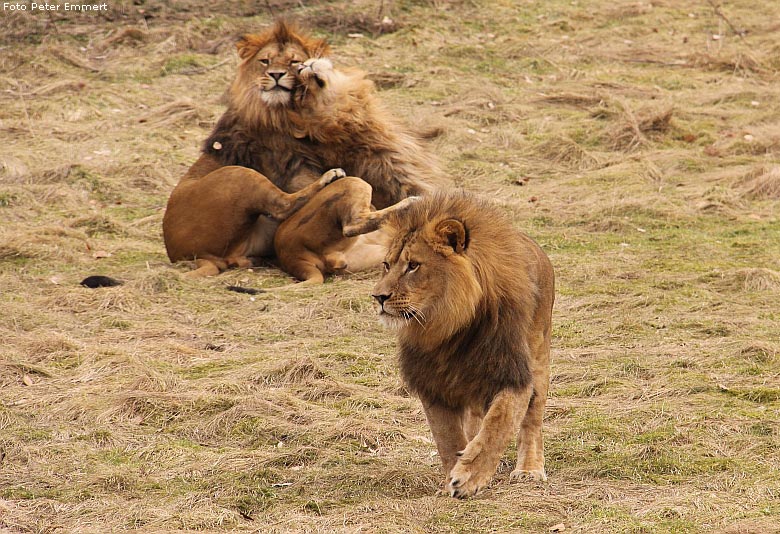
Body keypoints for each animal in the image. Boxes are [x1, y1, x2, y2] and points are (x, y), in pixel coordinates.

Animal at [161, 19, 442, 280]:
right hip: (239, 175)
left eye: (295, 61)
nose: (293, 70)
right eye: (265, 61)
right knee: (285, 204)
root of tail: (184, 254)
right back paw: (337, 178)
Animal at [372, 194, 556, 502]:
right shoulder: (432, 382)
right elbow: (447, 437)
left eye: (413, 265)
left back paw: (529, 469)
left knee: (532, 419)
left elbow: (498, 424)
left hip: (539, 359)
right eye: (386, 264)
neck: (449, 326)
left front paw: (469, 477)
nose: (378, 297)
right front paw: (452, 476)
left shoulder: (513, 375)